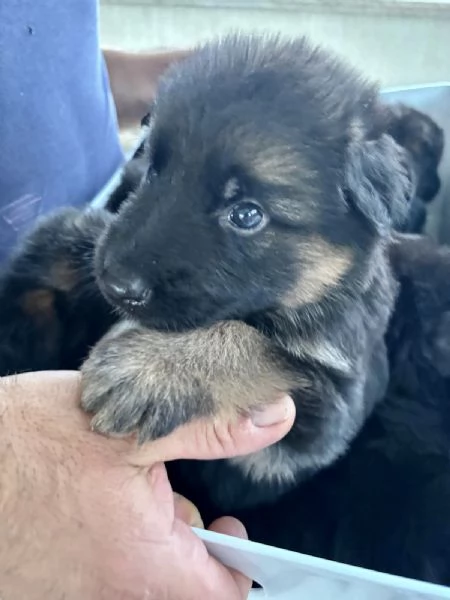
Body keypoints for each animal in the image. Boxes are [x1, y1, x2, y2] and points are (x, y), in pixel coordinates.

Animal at [0, 34, 450, 584]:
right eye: (153, 170)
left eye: (247, 214)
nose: (116, 283)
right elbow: (67, 236)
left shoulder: (318, 423)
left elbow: (265, 347)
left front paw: (153, 369)